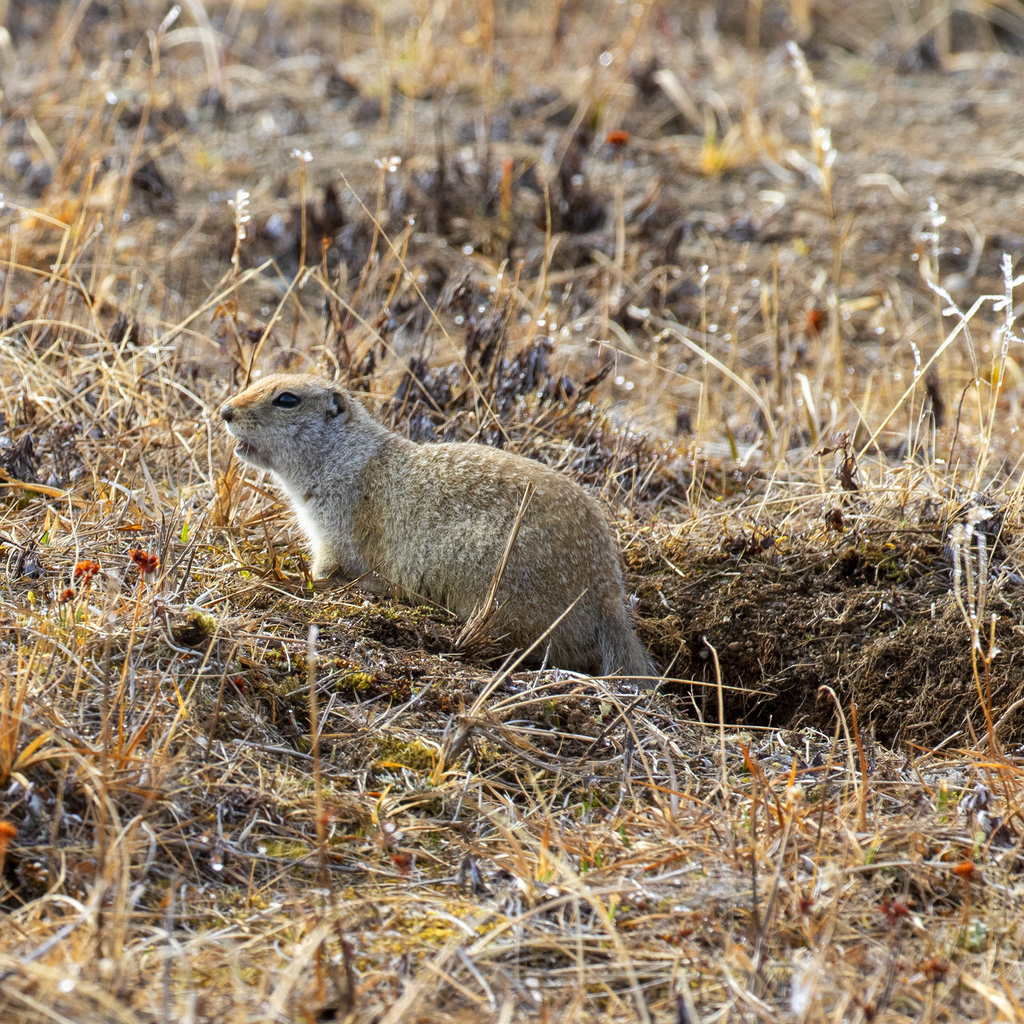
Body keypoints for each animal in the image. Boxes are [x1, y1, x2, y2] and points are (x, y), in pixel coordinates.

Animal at [220, 373, 655, 683]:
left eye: (287, 399)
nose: (224, 411)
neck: (345, 454)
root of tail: (607, 592)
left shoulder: (334, 530)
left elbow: (328, 569)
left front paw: (296, 580)